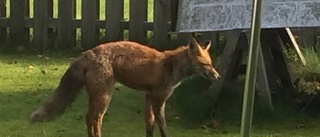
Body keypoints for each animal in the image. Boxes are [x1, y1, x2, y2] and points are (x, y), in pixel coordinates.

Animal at [29, 37, 220, 137]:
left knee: (88, 118)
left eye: (211, 64)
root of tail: (87, 53)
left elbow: (149, 124)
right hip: (105, 96)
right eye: (206, 65)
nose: (218, 76)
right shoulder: (159, 99)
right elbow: (163, 126)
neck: (170, 65)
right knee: (95, 119)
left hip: (97, 96)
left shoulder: (148, 96)